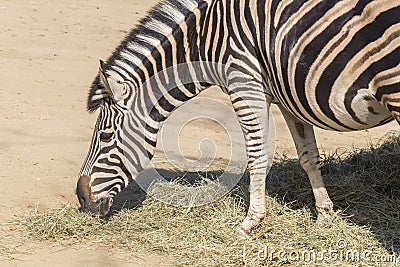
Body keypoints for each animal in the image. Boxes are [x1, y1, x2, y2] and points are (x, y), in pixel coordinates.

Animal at [76, 0, 400, 239]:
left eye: (105, 137)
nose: (81, 199)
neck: (207, 38)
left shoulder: (244, 83)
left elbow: (256, 157)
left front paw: (250, 222)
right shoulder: (287, 95)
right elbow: (308, 156)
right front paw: (324, 215)